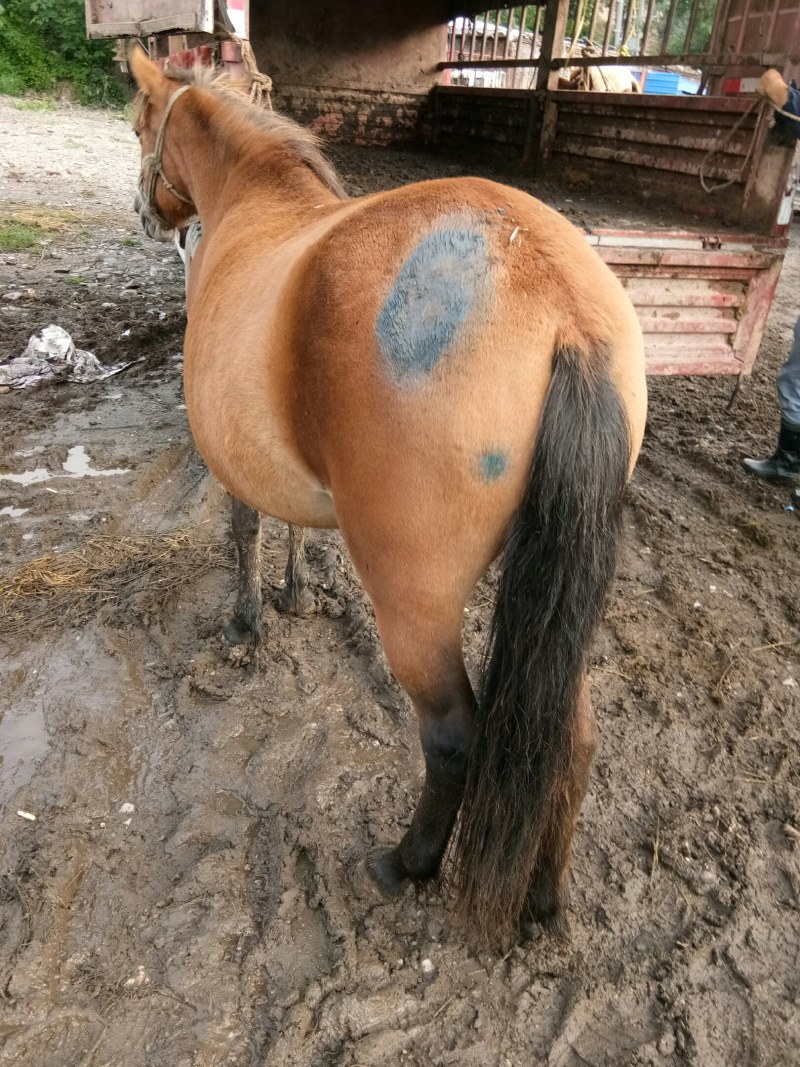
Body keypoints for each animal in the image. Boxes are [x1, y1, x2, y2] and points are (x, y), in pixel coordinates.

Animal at [128, 44, 647, 945]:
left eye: (136, 127)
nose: (142, 212)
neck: (256, 203)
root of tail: (563, 310)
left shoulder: (232, 461)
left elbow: (245, 533)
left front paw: (247, 621)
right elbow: (297, 530)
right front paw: (295, 595)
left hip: (416, 607)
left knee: (454, 739)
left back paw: (408, 862)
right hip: (557, 607)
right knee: (568, 739)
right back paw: (545, 899)